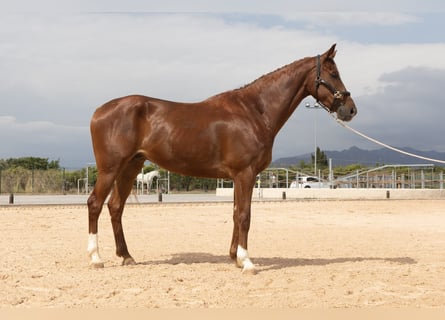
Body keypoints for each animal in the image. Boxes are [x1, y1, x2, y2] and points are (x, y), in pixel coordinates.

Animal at [87, 43, 358, 272]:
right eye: (334, 73)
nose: (351, 109)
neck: (254, 111)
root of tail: (99, 111)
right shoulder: (245, 173)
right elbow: (245, 215)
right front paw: (247, 261)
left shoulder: (239, 176)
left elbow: (237, 212)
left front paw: (235, 257)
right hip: (110, 169)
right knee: (95, 204)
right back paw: (96, 258)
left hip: (130, 168)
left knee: (115, 207)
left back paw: (126, 256)